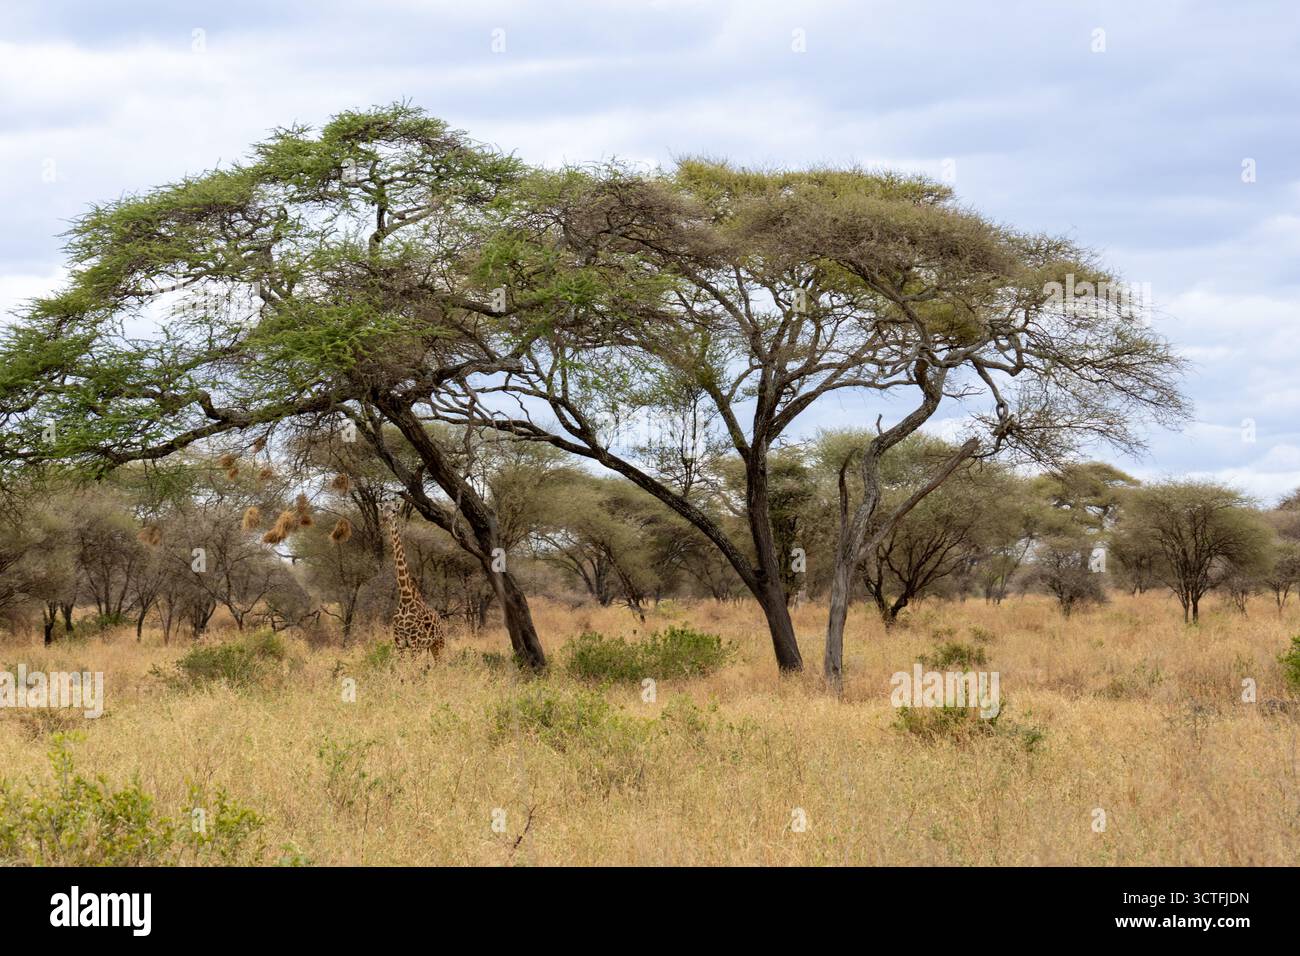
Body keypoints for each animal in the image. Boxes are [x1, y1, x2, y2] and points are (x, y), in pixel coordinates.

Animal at [382, 502, 446, 657]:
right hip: (430, 646)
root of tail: (439, 618)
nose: (385, 518)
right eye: (383, 509)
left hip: (439, 643)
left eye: (394, 510)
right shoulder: (399, 643)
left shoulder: (414, 643)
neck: (405, 598)